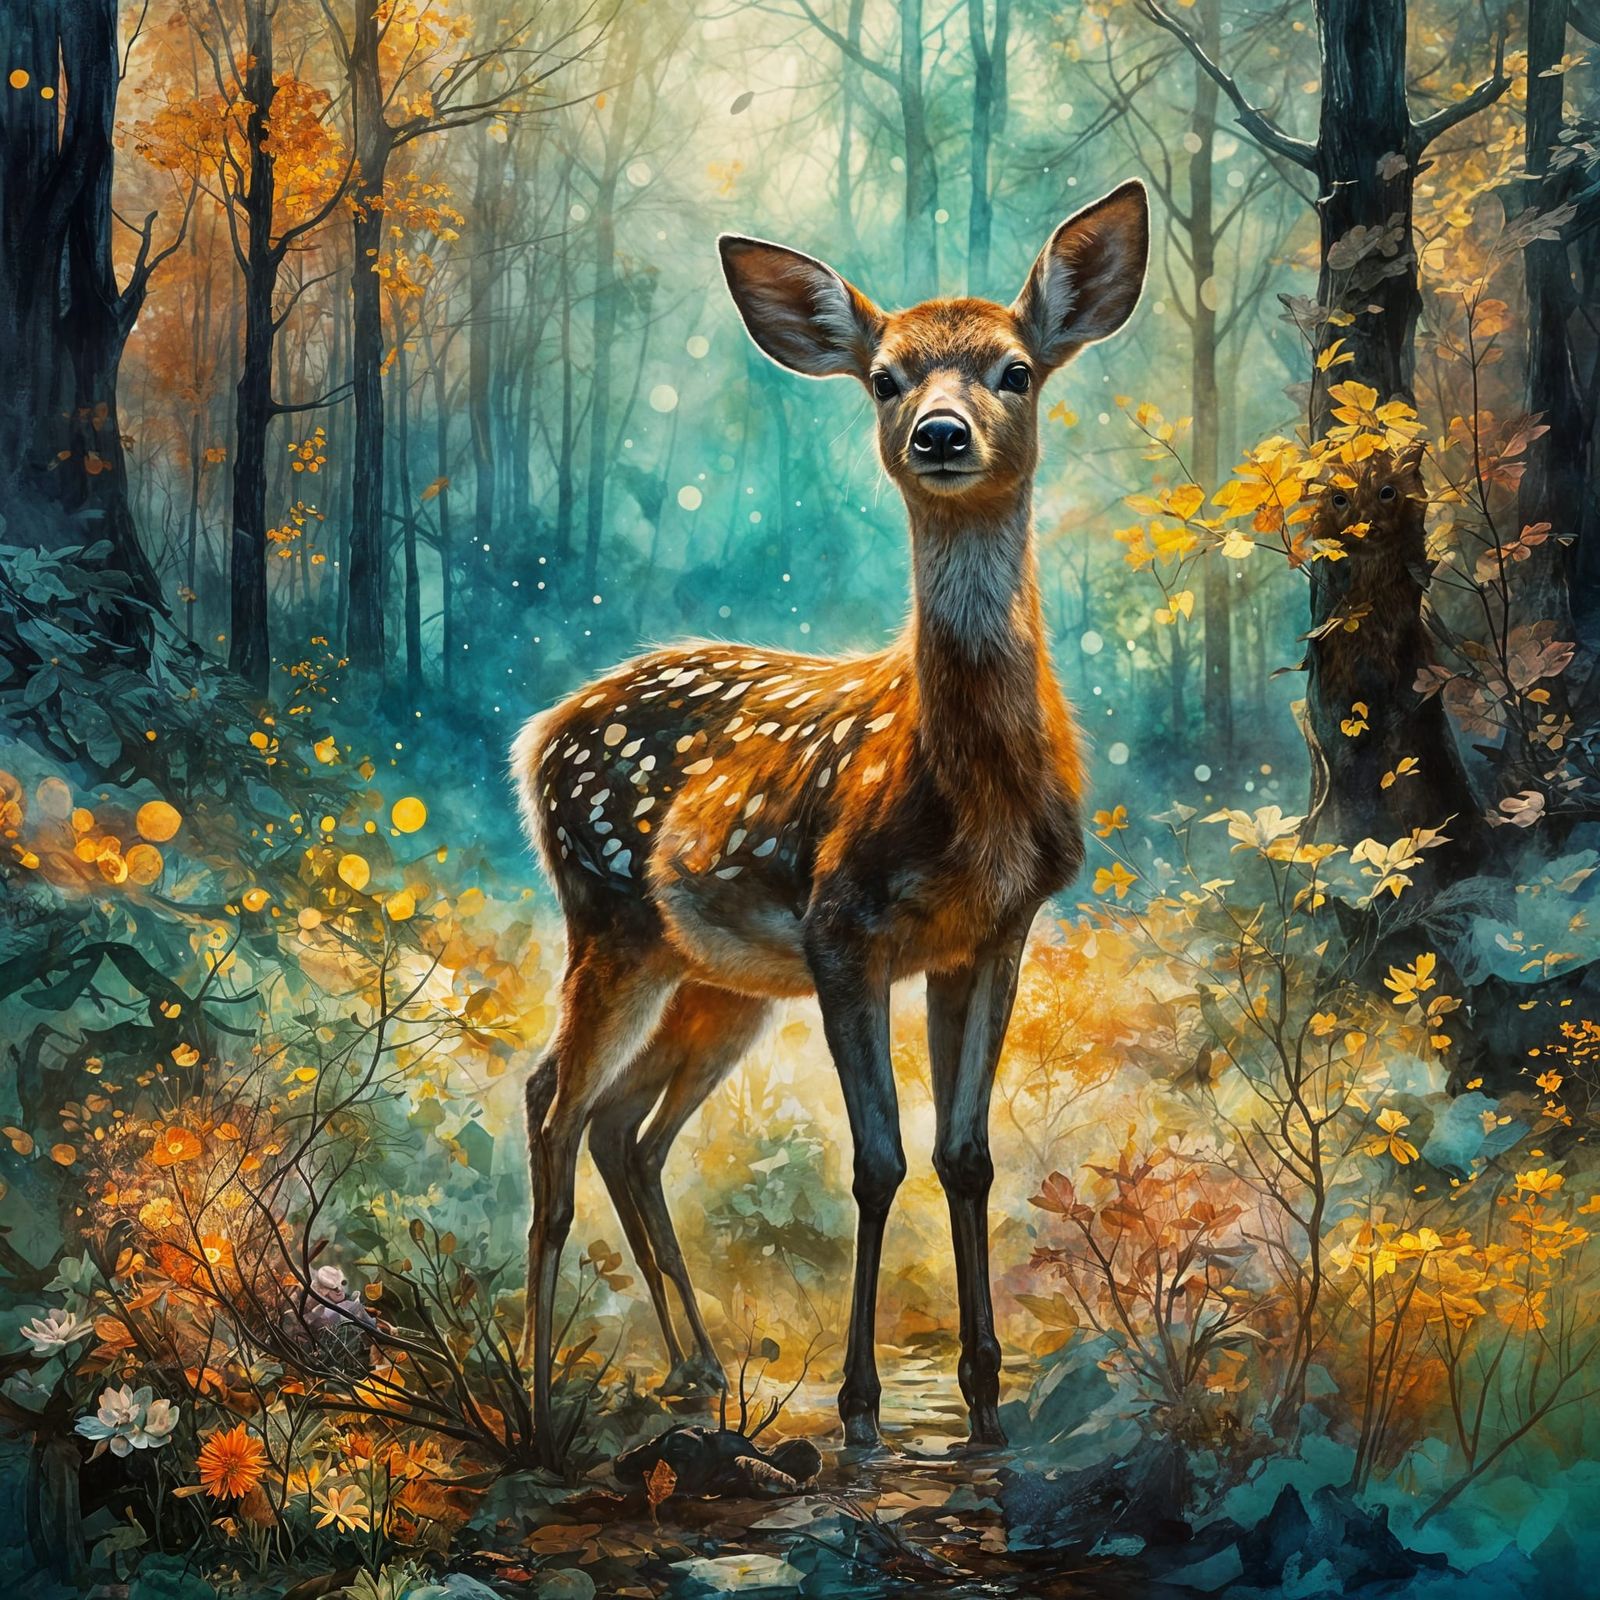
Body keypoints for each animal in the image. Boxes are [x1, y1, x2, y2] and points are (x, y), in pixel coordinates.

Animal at [512, 180, 1149, 1465]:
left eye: (1013, 370)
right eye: (886, 377)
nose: (941, 433)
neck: (967, 798)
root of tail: (539, 731)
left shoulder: (992, 933)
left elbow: (965, 1157)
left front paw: (986, 1400)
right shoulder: (842, 924)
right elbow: (876, 1160)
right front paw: (859, 1408)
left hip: (713, 978)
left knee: (615, 1122)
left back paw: (696, 1369)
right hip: (608, 918)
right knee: (555, 1105)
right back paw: (546, 1400)